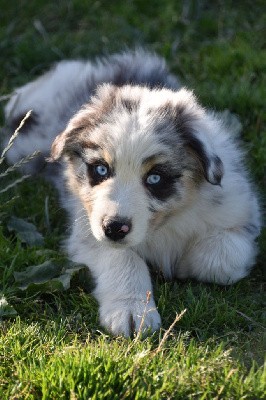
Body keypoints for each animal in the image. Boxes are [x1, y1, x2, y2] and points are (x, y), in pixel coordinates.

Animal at [2, 50, 260, 336]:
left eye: (155, 178)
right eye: (101, 169)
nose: (114, 228)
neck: (163, 225)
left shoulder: (240, 213)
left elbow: (220, 262)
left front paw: (181, 265)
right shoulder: (87, 229)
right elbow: (123, 258)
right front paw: (131, 310)